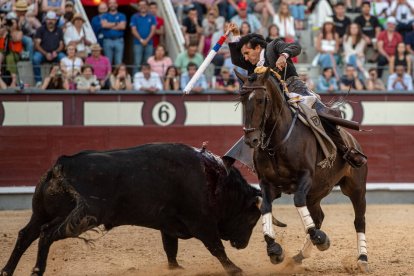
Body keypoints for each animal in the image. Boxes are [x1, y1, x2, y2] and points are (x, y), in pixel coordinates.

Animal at [0, 143, 262, 274]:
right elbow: (216, 247)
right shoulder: (201, 223)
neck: (213, 180)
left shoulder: (168, 224)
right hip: (81, 218)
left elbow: (170, 249)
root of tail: (61, 165)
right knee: (46, 235)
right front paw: (235, 269)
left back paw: (7, 270)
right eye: (252, 219)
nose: (243, 244)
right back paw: (36, 270)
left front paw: (175, 269)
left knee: (27, 234)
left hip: (44, 213)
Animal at [236, 68, 368, 272]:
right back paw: (299, 256)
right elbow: (265, 206)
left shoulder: (305, 177)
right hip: (316, 192)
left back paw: (362, 259)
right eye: (242, 99)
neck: (278, 143)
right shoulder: (267, 183)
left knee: (359, 220)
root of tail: (353, 141)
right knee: (318, 215)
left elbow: (297, 201)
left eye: (261, 99)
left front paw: (320, 238)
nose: (252, 140)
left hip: (356, 188)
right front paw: (274, 249)